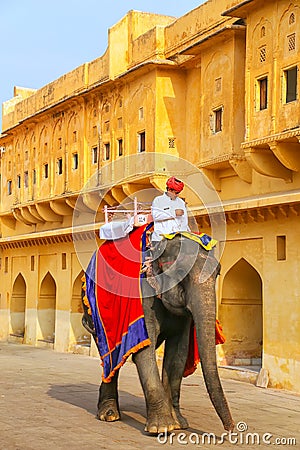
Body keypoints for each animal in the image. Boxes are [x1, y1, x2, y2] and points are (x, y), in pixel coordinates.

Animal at [82, 229, 234, 432]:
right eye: (180, 272)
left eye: (217, 274)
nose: (231, 428)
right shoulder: (142, 298)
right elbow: (144, 350)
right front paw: (161, 428)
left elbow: (178, 354)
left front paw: (179, 424)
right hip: (94, 316)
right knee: (109, 358)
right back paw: (109, 415)